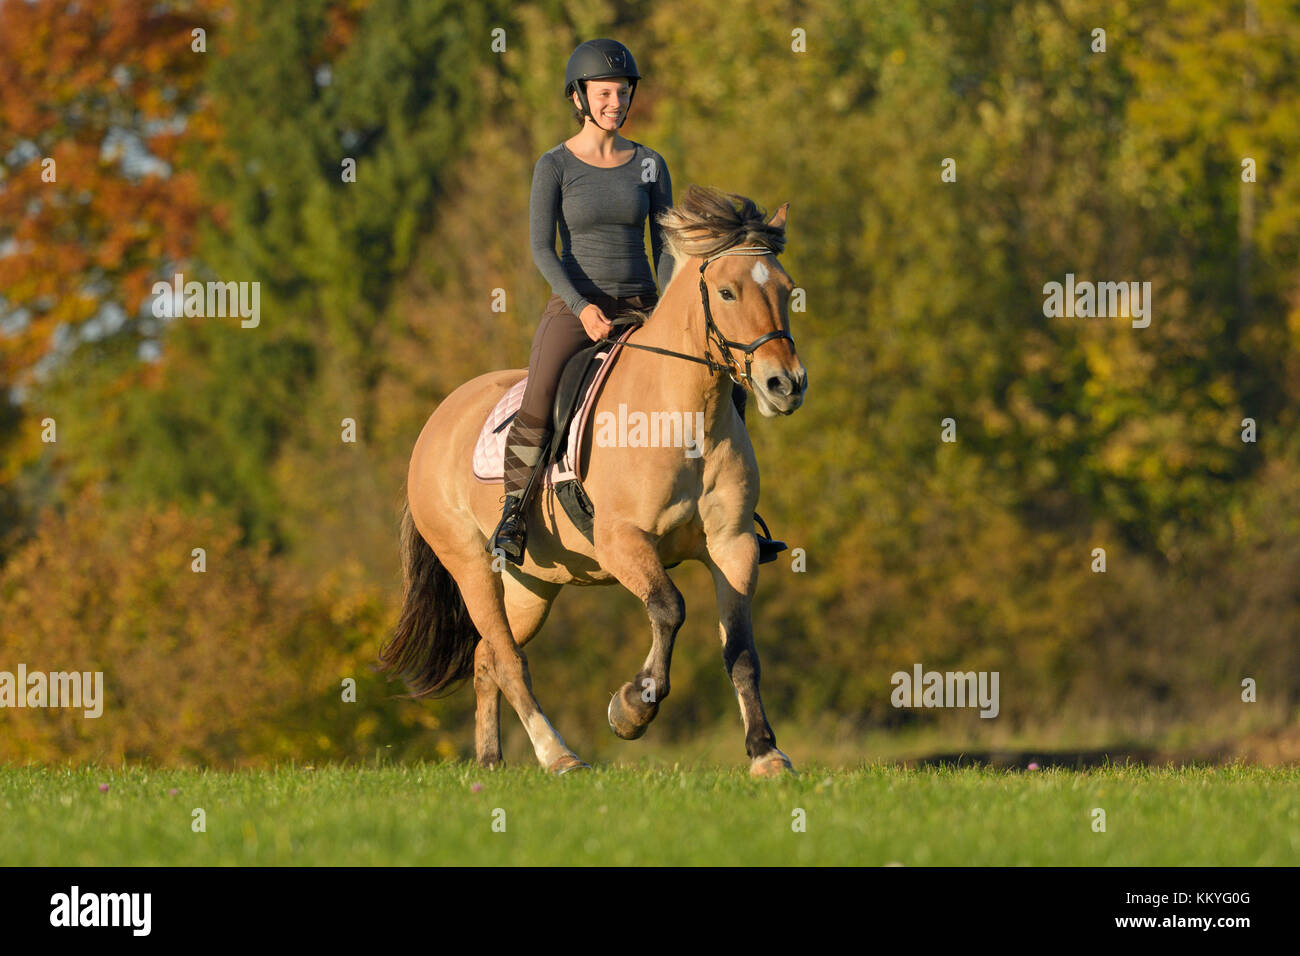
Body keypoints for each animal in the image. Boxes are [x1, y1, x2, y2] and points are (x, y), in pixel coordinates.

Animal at [380, 185, 808, 776]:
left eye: (786, 290)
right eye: (726, 292)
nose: (786, 384)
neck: (685, 415)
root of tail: (436, 423)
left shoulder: (733, 544)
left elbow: (741, 651)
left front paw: (766, 753)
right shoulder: (622, 541)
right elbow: (670, 607)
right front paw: (632, 708)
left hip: (532, 586)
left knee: (488, 654)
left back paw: (490, 761)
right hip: (470, 566)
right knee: (508, 659)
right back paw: (558, 754)